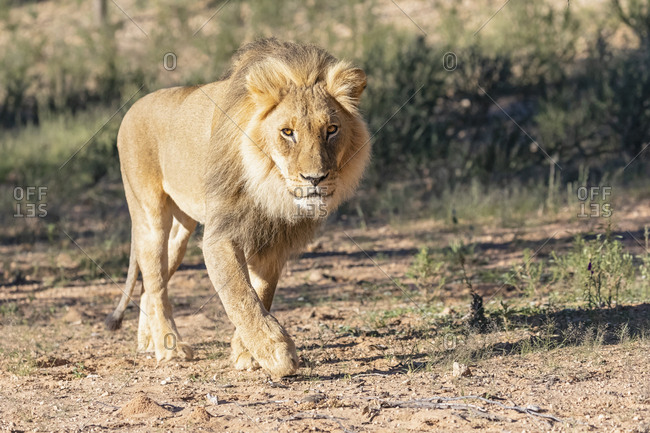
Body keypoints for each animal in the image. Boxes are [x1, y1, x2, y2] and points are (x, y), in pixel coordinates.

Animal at [104, 38, 370, 378]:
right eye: (287, 132)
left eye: (332, 129)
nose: (315, 179)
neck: (271, 186)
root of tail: (133, 108)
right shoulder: (221, 234)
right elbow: (241, 296)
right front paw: (277, 353)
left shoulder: (275, 242)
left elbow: (261, 293)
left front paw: (246, 352)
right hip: (150, 218)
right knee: (155, 283)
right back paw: (170, 349)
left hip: (179, 234)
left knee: (151, 286)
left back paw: (148, 342)